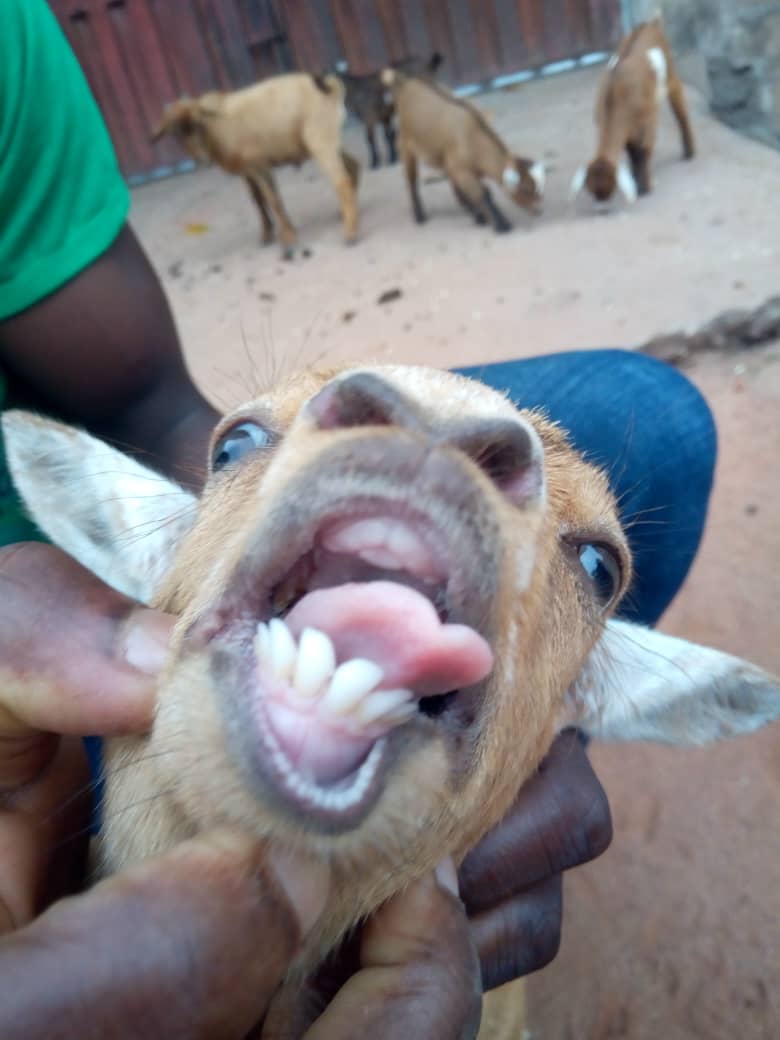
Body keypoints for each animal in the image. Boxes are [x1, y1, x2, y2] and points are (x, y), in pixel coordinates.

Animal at [150, 72, 361, 257]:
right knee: (353, 166)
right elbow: (257, 199)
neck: (217, 129)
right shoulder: (247, 170)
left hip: (320, 139)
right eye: (176, 133)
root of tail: (331, 87)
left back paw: (350, 233)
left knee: (341, 181)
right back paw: (349, 212)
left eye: (198, 124)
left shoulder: (259, 164)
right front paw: (267, 234)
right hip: (327, 140)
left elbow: (272, 199)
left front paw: (289, 238)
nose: (203, 161)